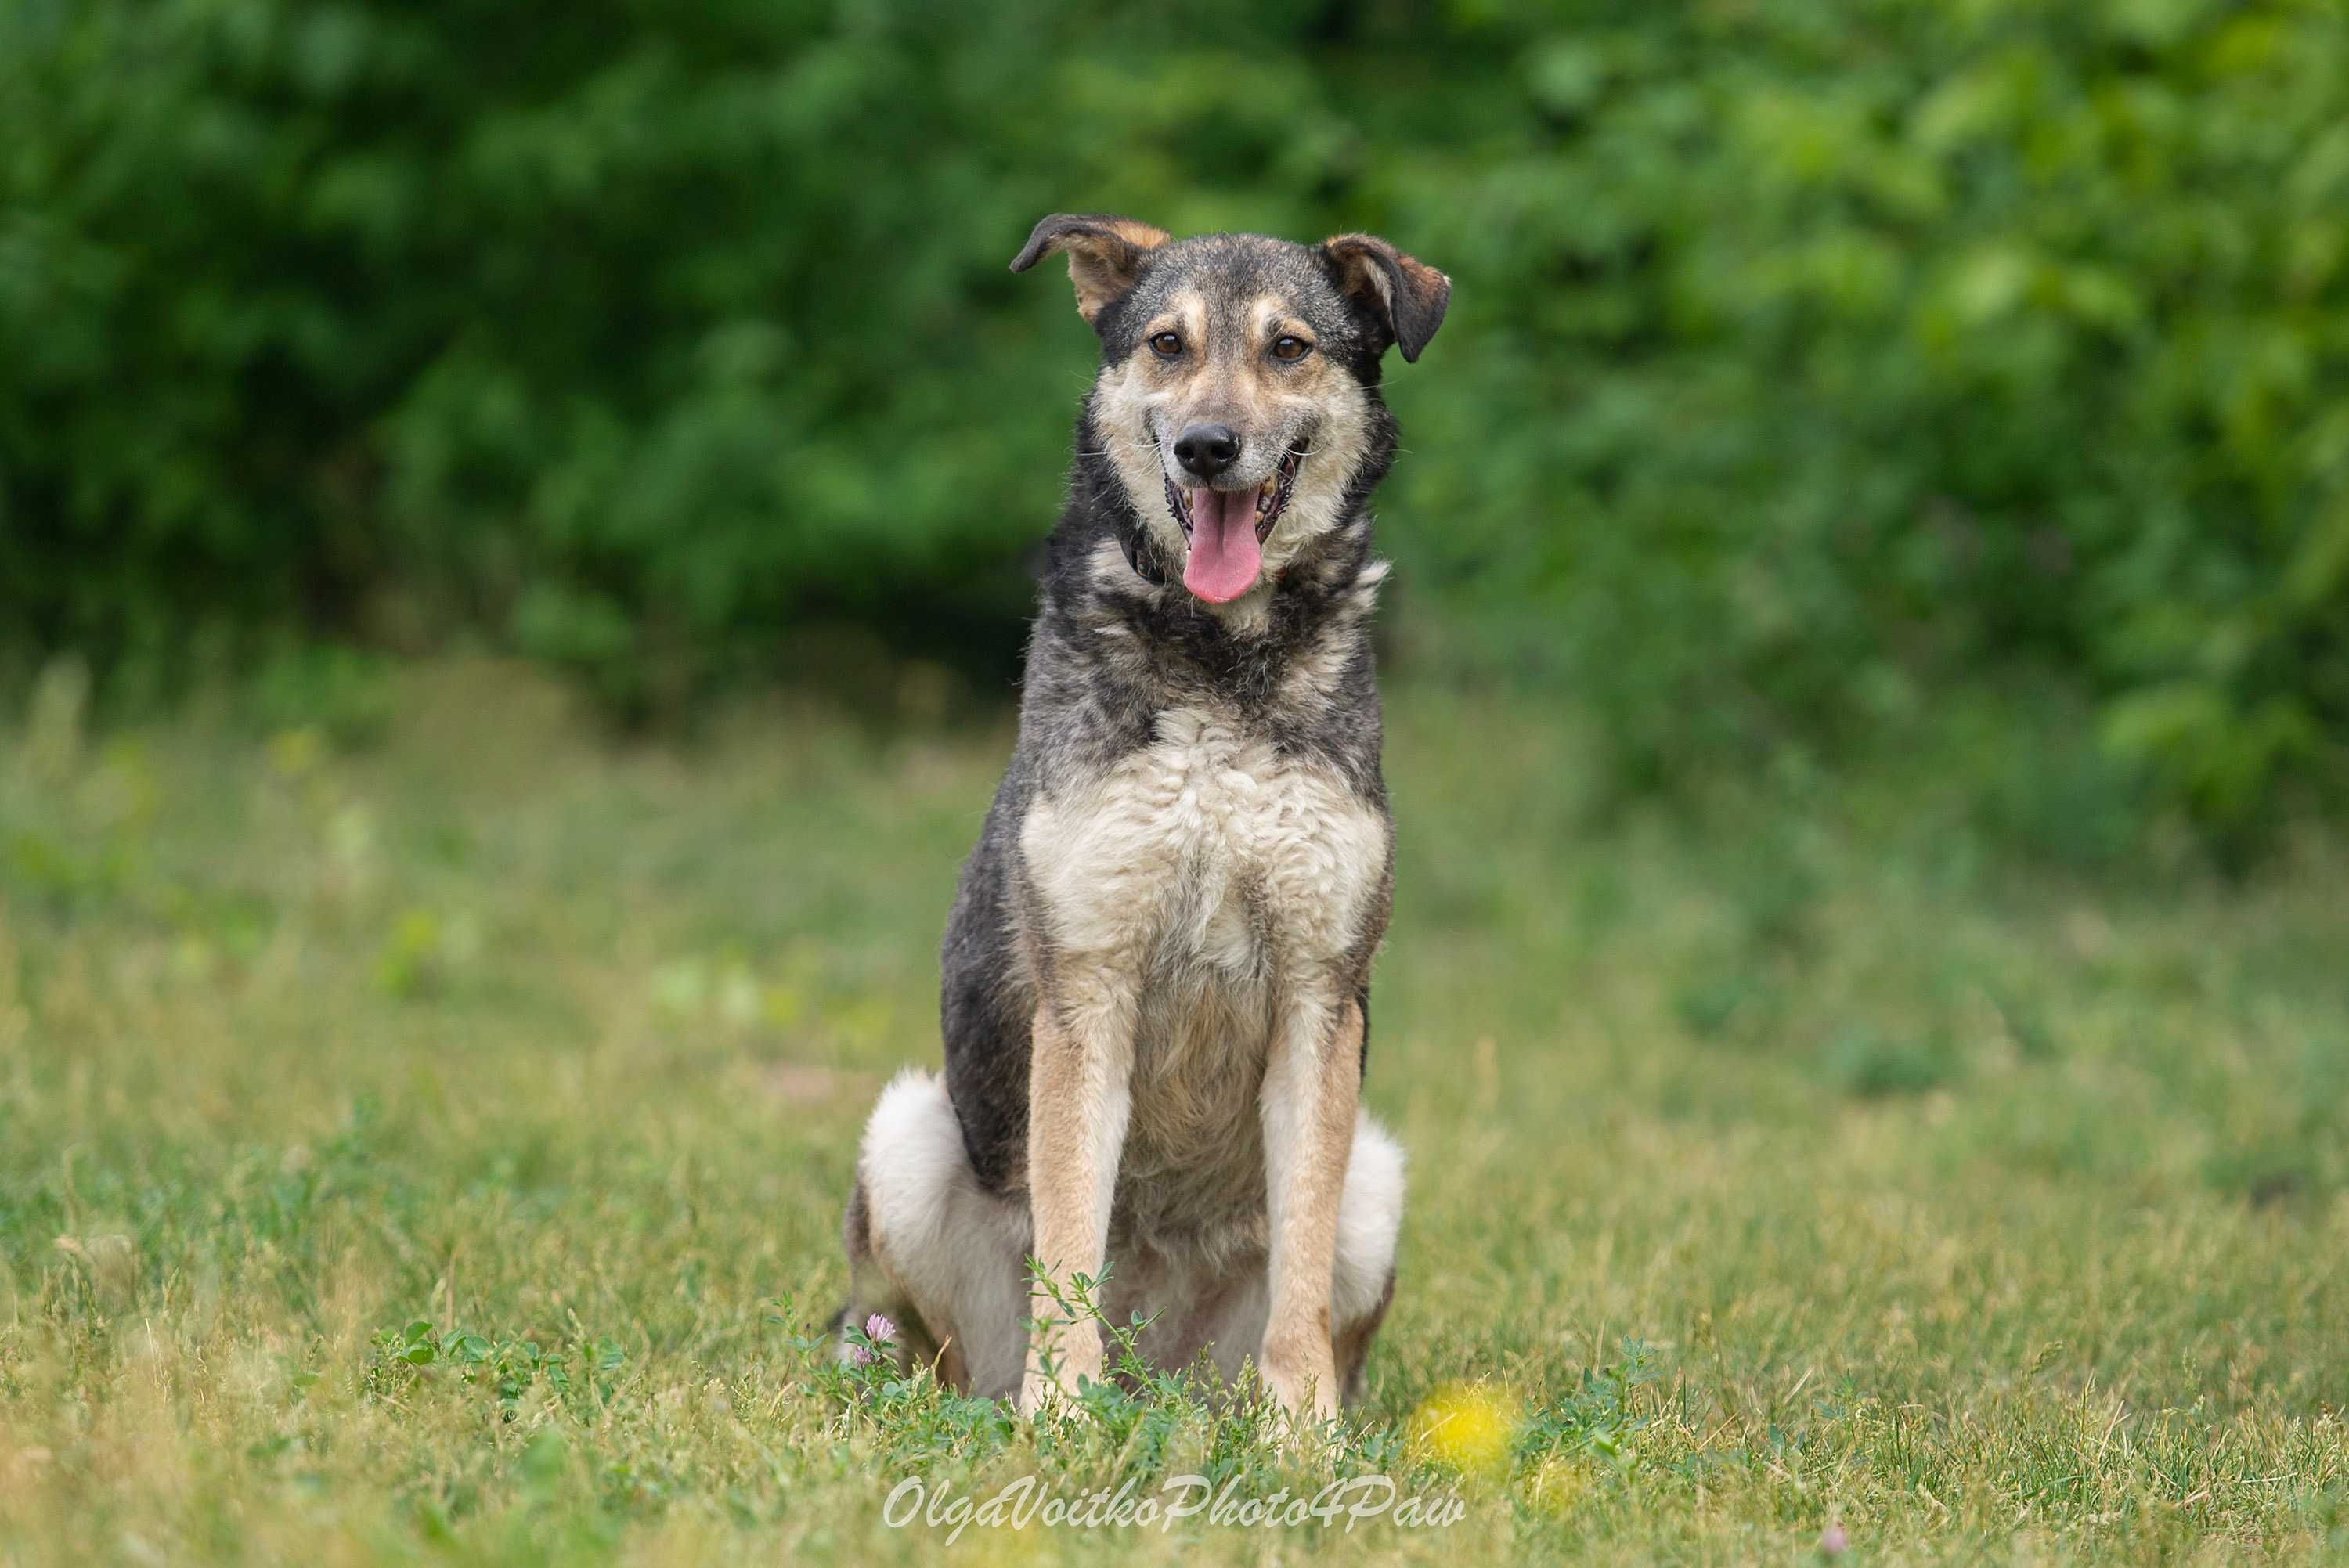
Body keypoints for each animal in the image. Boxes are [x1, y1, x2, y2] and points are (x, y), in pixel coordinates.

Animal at [836, 214, 1438, 1427]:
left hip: (1379, 1173)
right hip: (908, 1131)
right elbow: (1071, 1234)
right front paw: (1062, 1420)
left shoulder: (1320, 998)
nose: (1208, 446)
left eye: (1289, 347)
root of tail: (1160, 1375)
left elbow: (1301, 1266)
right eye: (1167, 343)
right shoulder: (1088, 984)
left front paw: (1304, 1435)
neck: (1218, 658)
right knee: (951, 1350)